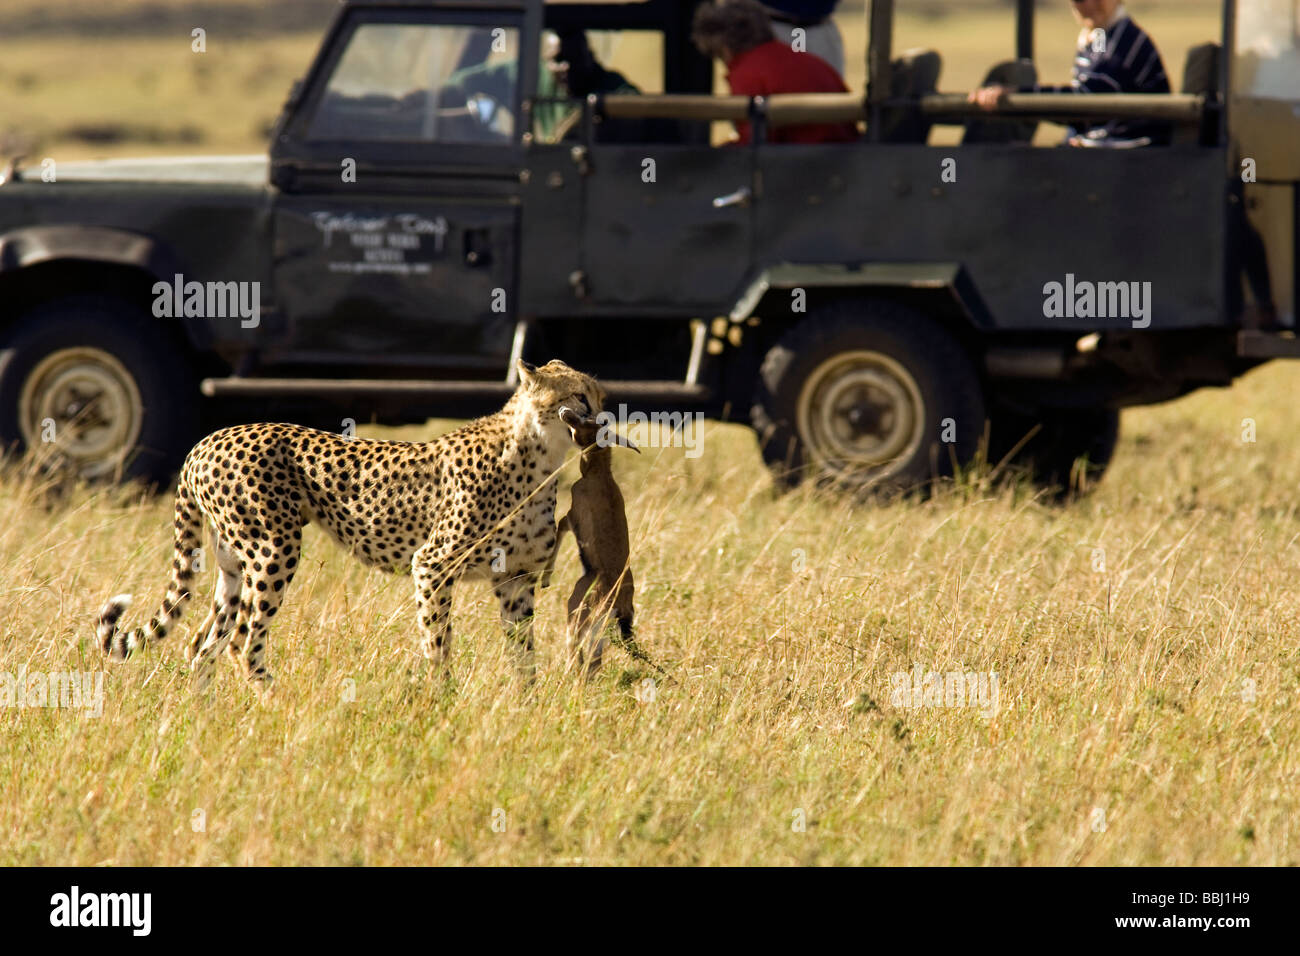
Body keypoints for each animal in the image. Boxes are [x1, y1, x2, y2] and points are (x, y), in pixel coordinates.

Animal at [98, 361, 605, 691]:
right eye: (578, 396)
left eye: (599, 395)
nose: (602, 418)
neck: (540, 455)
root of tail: (208, 439)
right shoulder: (432, 565)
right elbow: (438, 644)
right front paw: (443, 703)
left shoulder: (515, 578)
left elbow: (523, 655)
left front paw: (527, 708)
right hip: (273, 549)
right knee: (243, 642)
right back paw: (275, 704)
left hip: (232, 565)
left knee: (202, 645)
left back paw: (206, 721)